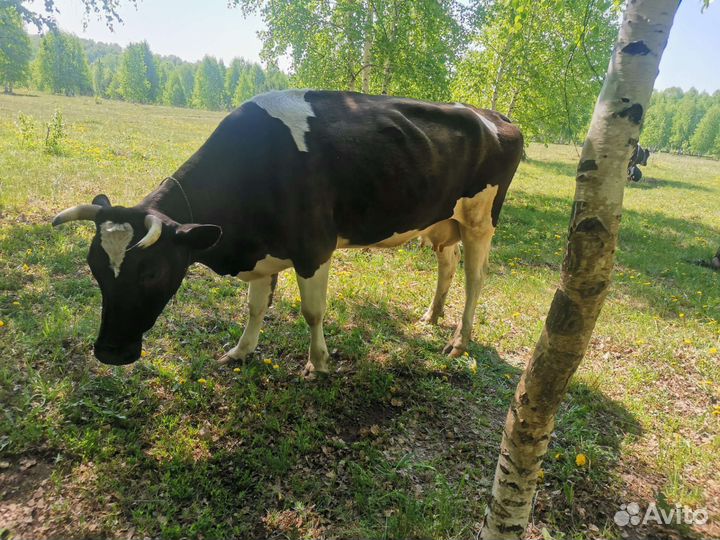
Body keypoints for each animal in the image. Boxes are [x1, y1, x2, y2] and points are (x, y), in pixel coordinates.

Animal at [52, 90, 523, 377]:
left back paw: (459, 342)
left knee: (475, 278)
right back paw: (432, 316)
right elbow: (254, 308)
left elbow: (312, 311)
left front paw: (318, 363)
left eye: (150, 273)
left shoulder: (314, 248)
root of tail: (493, 116)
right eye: (95, 269)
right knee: (447, 262)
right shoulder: (261, 253)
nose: (109, 352)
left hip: (481, 218)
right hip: (444, 220)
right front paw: (240, 352)